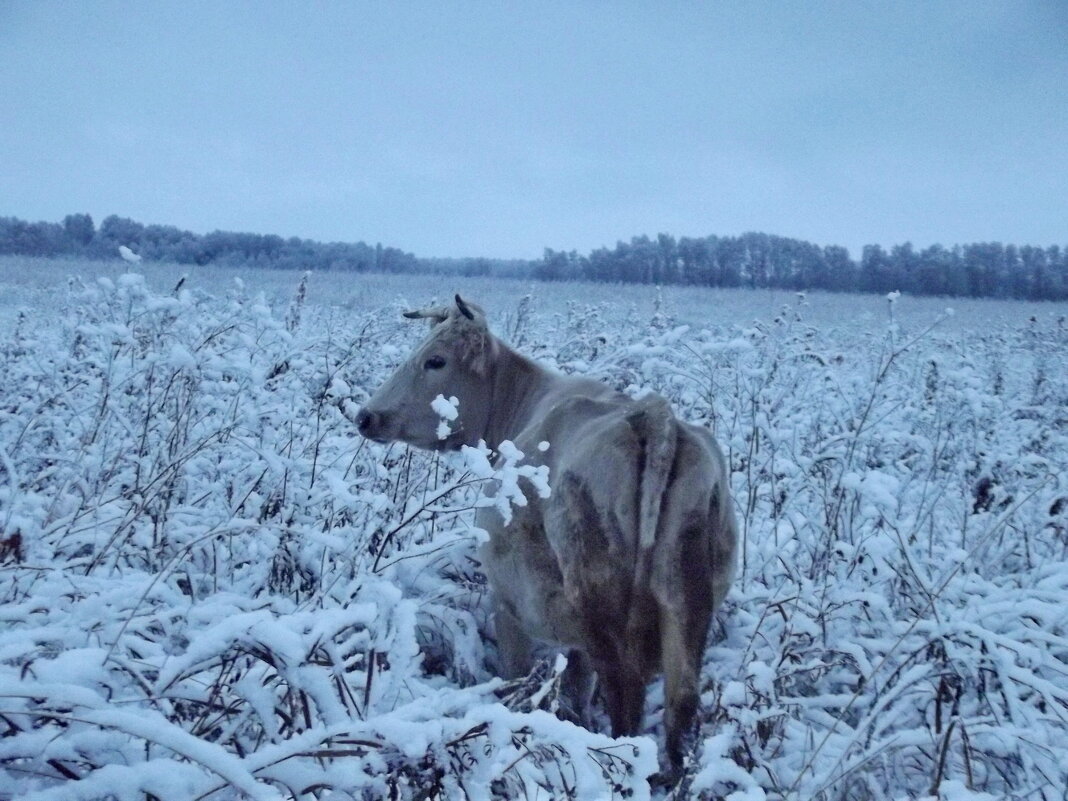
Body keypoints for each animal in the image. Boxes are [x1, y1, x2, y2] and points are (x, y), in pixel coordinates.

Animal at [354, 294, 739, 773]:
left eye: (435, 360)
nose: (366, 416)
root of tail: (654, 415)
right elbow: (576, 686)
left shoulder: (509, 605)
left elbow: (515, 677)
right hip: (687, 608)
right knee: (680, 715)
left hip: (601, 609)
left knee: (625, 700)